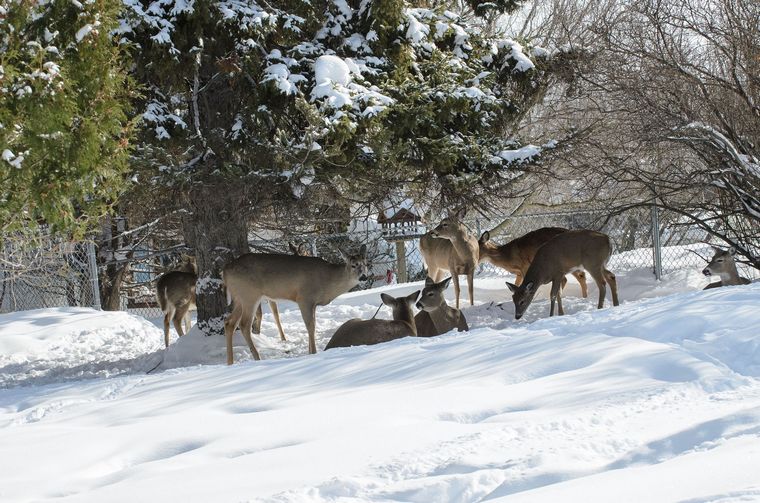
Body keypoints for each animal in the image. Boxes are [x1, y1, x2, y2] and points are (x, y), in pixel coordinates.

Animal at [221, 243, 370, 364]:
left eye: (365, 264)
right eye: (353, 265)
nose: (364, 277)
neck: (328, 282)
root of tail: (225, 271)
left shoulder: (313, 303)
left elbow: (312, 325)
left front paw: (310, 352)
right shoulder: (304, 297)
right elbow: (310, 326)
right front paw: (313, 353)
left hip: (239, 298)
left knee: (229, 322)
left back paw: (230, 362)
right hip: (249, 295)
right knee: (244, 324)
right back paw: (257, 358)